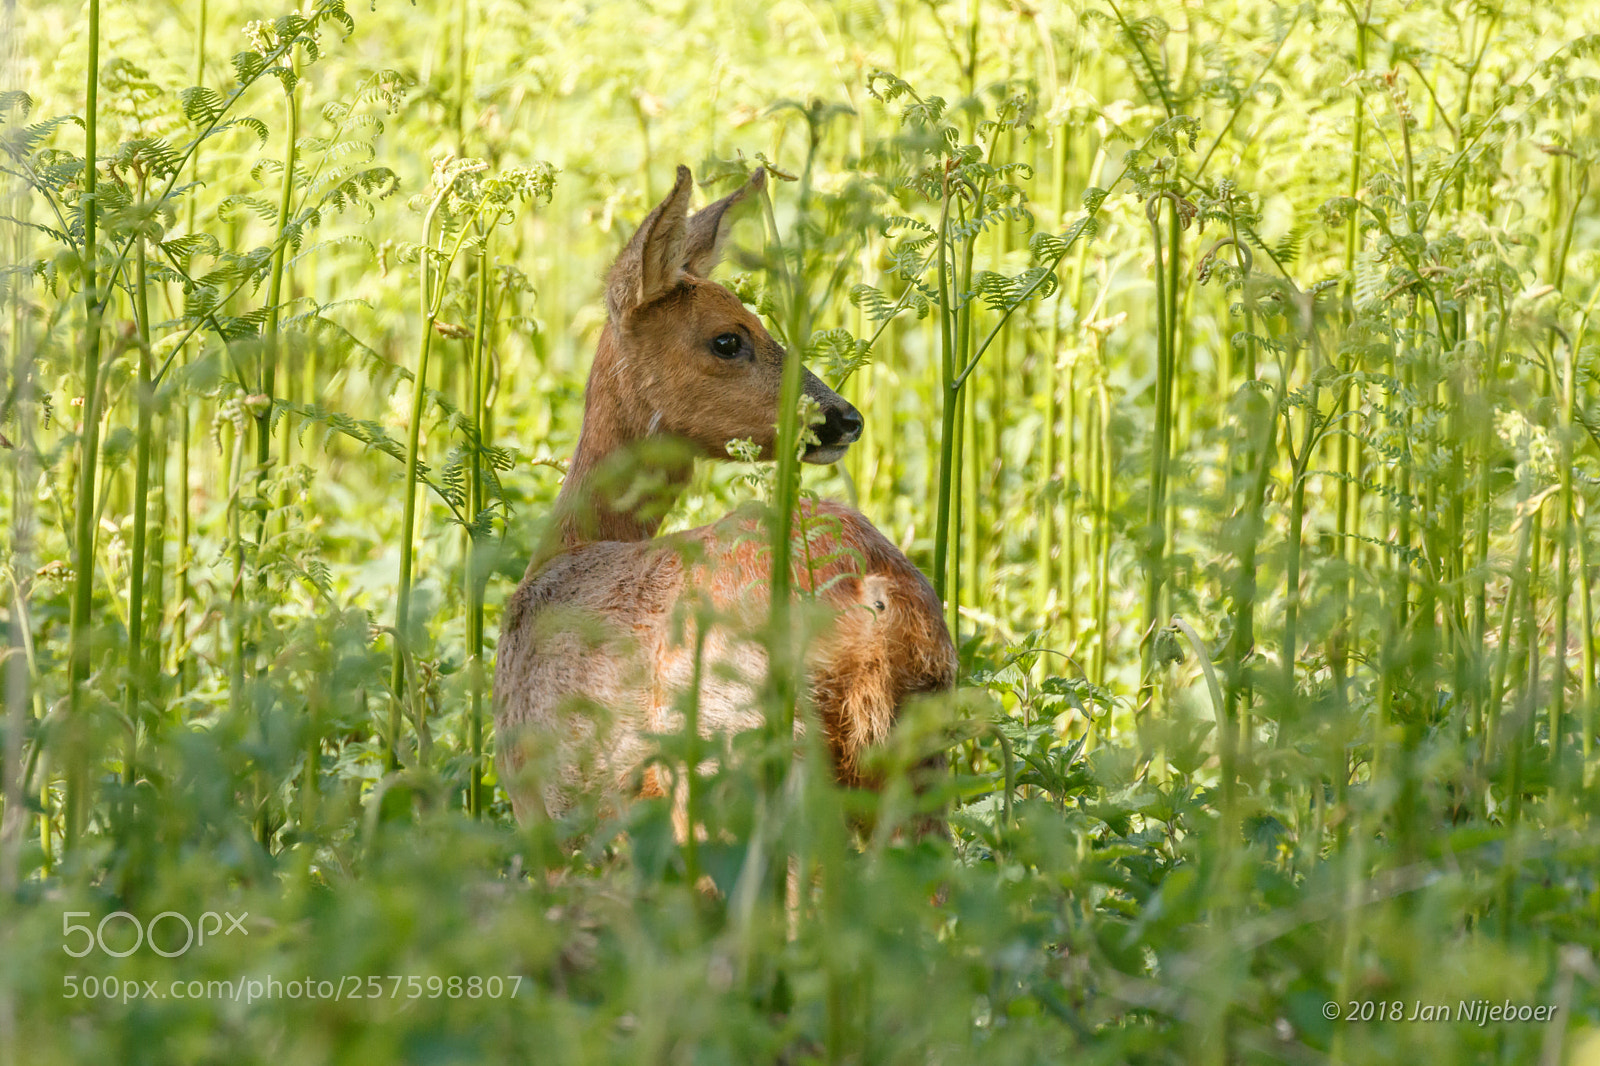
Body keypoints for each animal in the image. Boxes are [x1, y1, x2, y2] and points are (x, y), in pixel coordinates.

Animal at [493, 164, 956, 826]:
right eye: (729, 339)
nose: (845, 418)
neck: (568, 548)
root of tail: (872, 598)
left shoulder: (545, 812)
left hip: (725, 761)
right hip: (917, 761)